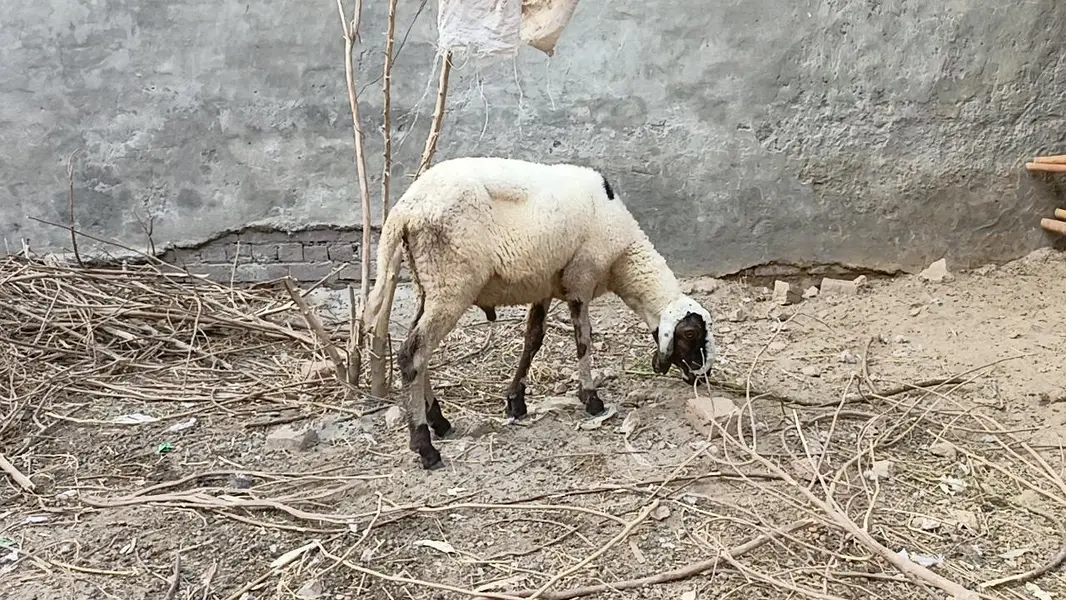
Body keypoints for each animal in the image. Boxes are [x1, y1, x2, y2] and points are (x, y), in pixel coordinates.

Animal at [362, 156, 717, 470]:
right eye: (690, 333)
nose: (703, 376)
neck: (623, 257)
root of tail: (404, 209)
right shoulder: (580, 280)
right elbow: (583, 341)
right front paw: (591, 400)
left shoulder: (544, 286)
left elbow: (533, 339)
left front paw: (516, 401)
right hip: (451, 283)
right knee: (413, 355)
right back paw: (425, 446)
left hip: (428, 283)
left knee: (418, 352)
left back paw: (440, 421)